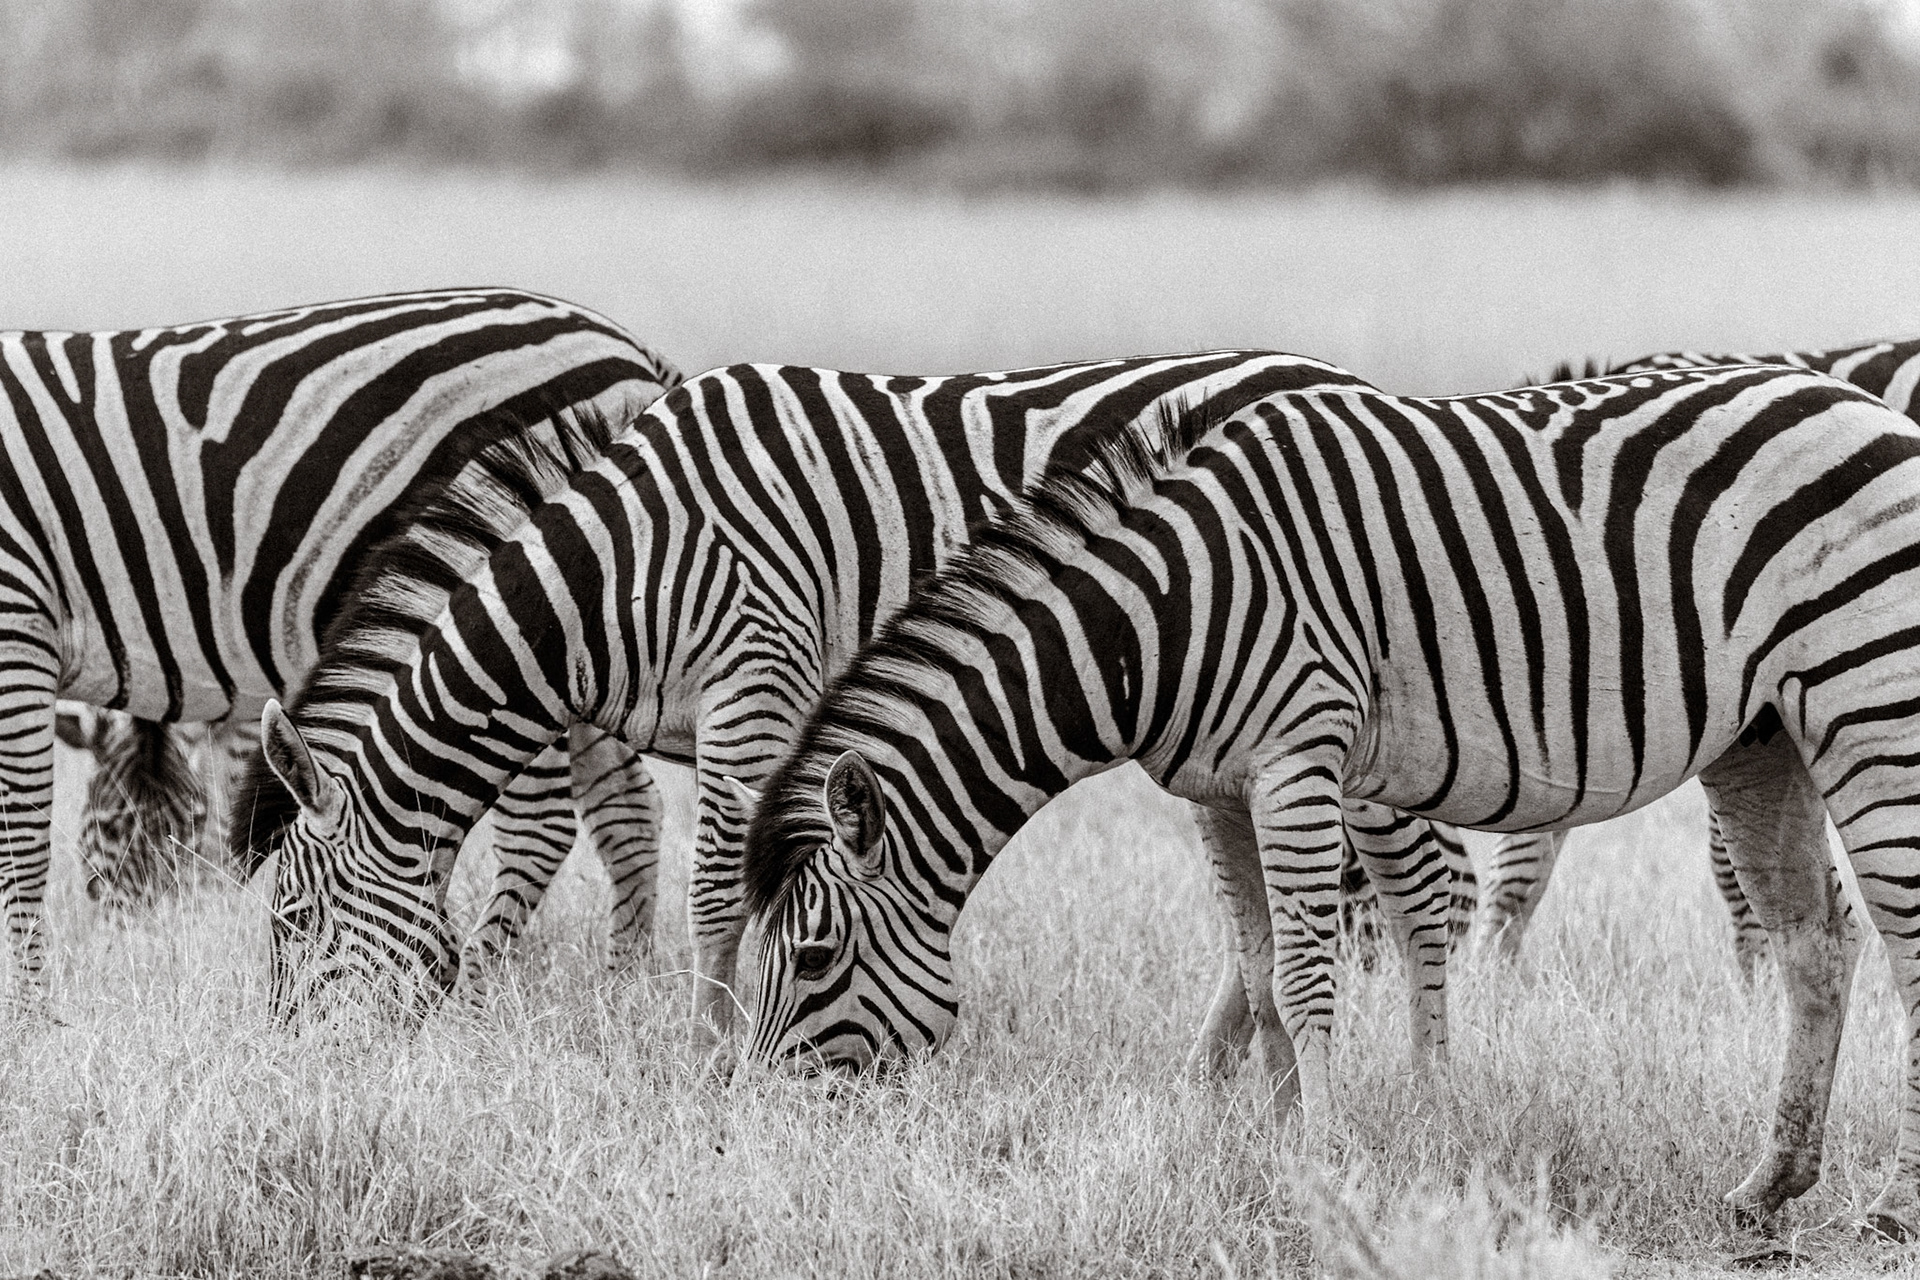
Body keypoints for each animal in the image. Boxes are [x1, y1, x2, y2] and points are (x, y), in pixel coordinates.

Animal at [0, 286, 679, 1006]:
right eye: (103, 840)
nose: (150, 942)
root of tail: (630, 347)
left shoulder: (18, 615)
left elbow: (20, 847)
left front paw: (30, 1015)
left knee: (540, 825)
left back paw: (476, 1000)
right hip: (588, 637)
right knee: (629, 806)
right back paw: (627, 984)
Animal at [233, 351, 1460, 1052]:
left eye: (289, 923)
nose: (286, 1067)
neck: (623, 567)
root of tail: (1353, 380)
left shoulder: (756, 682)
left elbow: (714, 895)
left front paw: (702, 1055)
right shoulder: (675, 721)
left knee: (1418, 877)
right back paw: (1219, 1069)